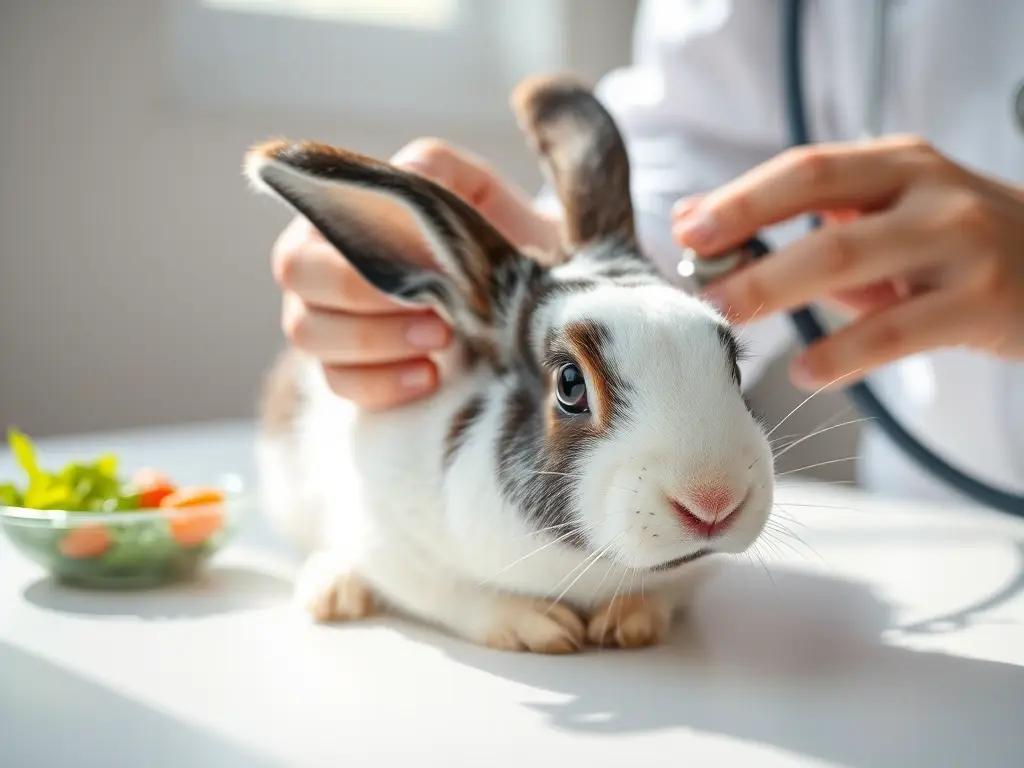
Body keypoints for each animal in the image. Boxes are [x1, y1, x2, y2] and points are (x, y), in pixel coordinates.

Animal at [245, 74, 775, 654]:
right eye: (570, 384)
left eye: (733, 364)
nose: (713, 501)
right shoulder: (393, 541)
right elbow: (459, 596)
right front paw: (541, 625)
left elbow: (664, 591)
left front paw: (629, 620)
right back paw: (333, 591)